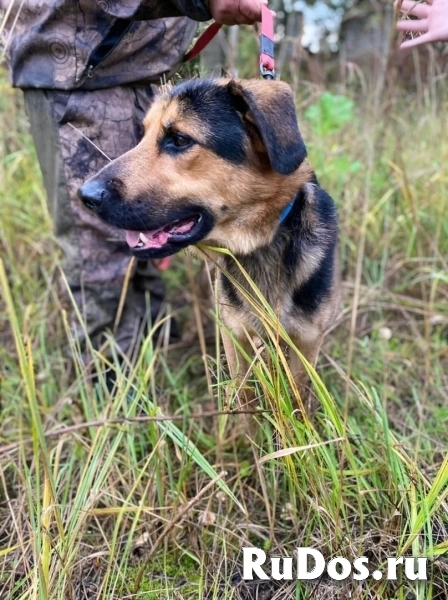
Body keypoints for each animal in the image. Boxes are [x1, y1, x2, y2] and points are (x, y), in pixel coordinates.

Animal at [79, 78, 340, 408]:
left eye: (179, 139)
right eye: (143, 134)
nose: (85, 195)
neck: (260, 244)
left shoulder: (307, 343)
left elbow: (298, 399)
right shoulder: (236, 337)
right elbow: (243, 398)